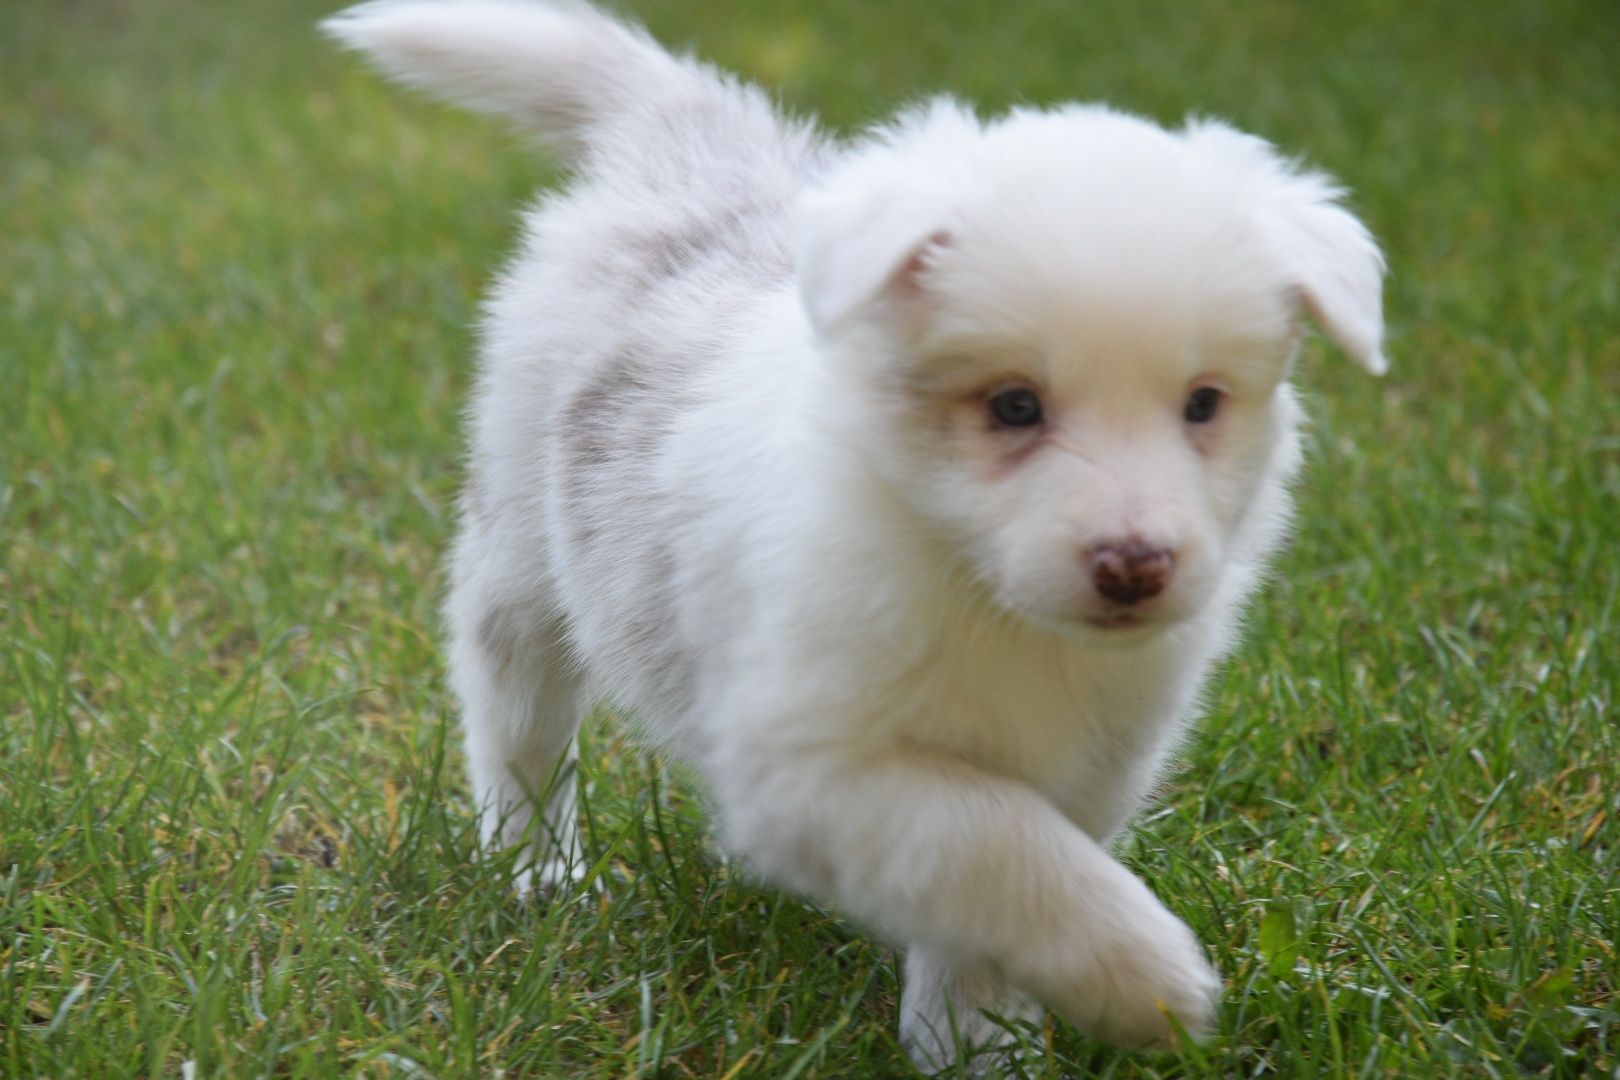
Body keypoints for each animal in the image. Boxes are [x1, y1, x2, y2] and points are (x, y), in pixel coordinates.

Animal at [325, 4, 1380, 1075]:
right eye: (1014, 405)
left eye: (1203, 404)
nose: (1135, 566)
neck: (978, 592)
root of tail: (702, 145)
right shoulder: (809, 766)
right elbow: (995, 846)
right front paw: (1145, 981)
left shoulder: (1093, 762)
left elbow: (993, 907)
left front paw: (978, 1047)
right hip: (524, 548)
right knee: (517, 714)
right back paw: (538, 872)